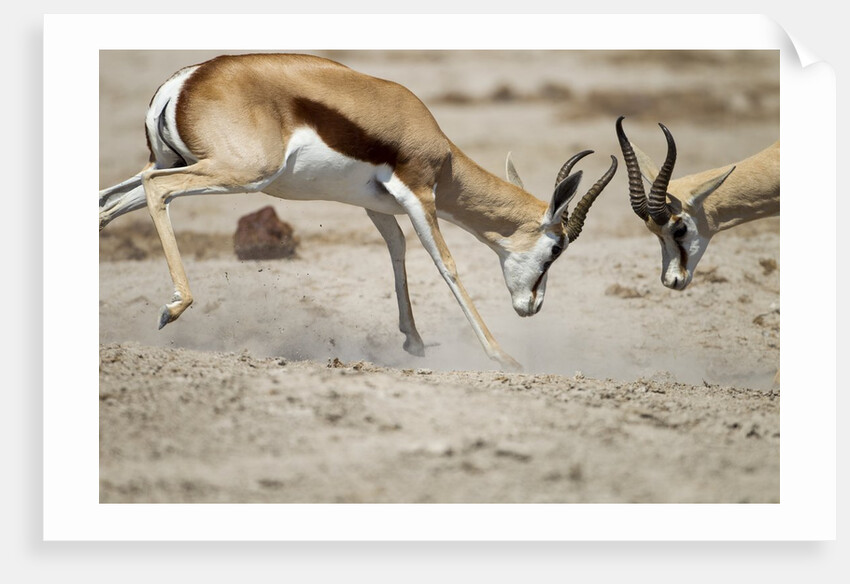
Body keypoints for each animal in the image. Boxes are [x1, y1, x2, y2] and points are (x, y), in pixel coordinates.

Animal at [99, 53, 617, 370]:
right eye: (556, 248)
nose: (532, 306)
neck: (439, 148)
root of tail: (186, 79)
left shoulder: (377, 206)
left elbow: (397, 250)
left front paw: (414, 341)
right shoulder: (419, 195)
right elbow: (445, 264)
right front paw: (502, 357)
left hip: (176, 162)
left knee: (107, 203)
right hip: (235, 174)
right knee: (158, 191)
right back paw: (174, 307)